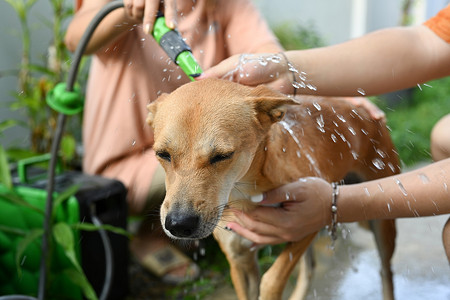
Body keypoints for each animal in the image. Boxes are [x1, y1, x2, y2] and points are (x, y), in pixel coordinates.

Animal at [146, 78, 400, 298]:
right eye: (162, 154)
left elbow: (272, 279)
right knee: (310, 269)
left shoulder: (307, 222)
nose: (179, 224)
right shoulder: (239, 260)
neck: (245, 193)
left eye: (222, 156)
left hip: (383, 221)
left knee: (386, 272)